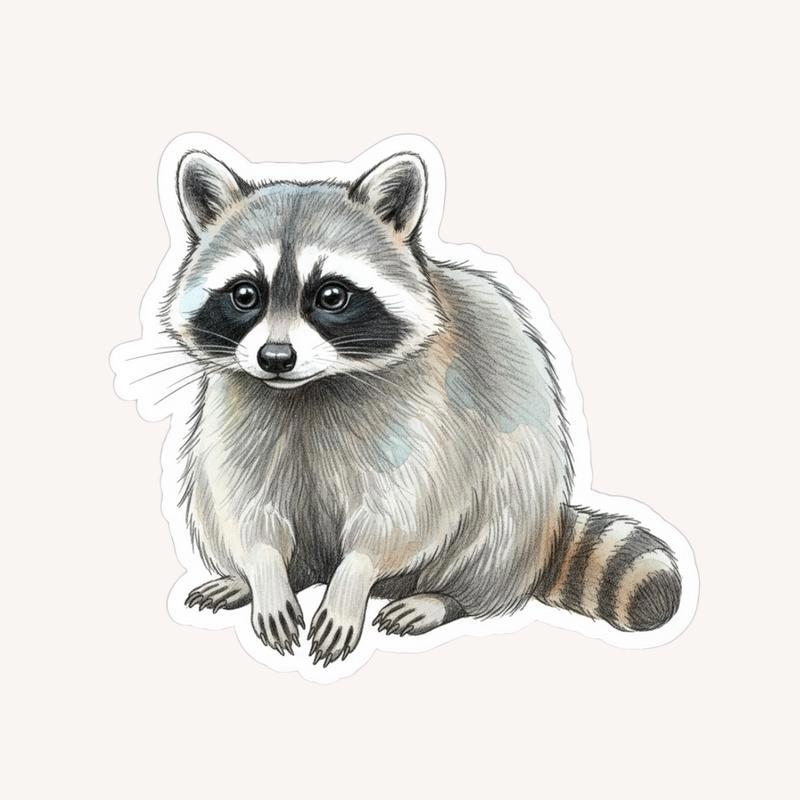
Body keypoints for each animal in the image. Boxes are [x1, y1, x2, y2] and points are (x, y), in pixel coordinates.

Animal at [165, 149, 682, 665]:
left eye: (331, 295)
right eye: (245, 294)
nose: (275, 357)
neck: (309, 388)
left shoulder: (427, 412)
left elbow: (402, 514)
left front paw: (354, 576)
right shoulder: (240, 408)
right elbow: (246, 508)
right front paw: (264, 570)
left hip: (520, 501)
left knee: (497, 525)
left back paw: (442, 596)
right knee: (211, 497)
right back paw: (249, 580)